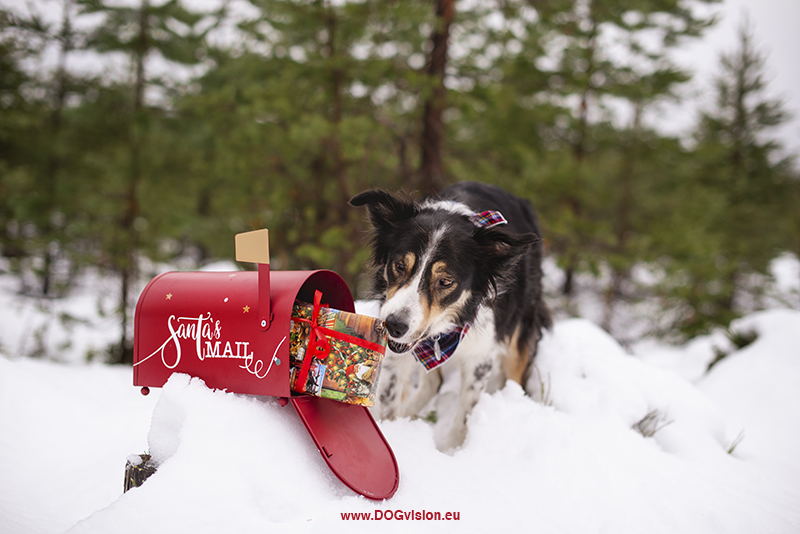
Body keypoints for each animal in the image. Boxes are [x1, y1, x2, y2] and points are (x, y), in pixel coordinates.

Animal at [350, 182, 552, 450]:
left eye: (445, 282)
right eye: (399, 266)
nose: (394, 325)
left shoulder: (480, 356)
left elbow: (464, 417)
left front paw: (453, 451)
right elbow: (390, 397)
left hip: (520, 331)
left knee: (516, 379)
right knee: (432, 383)